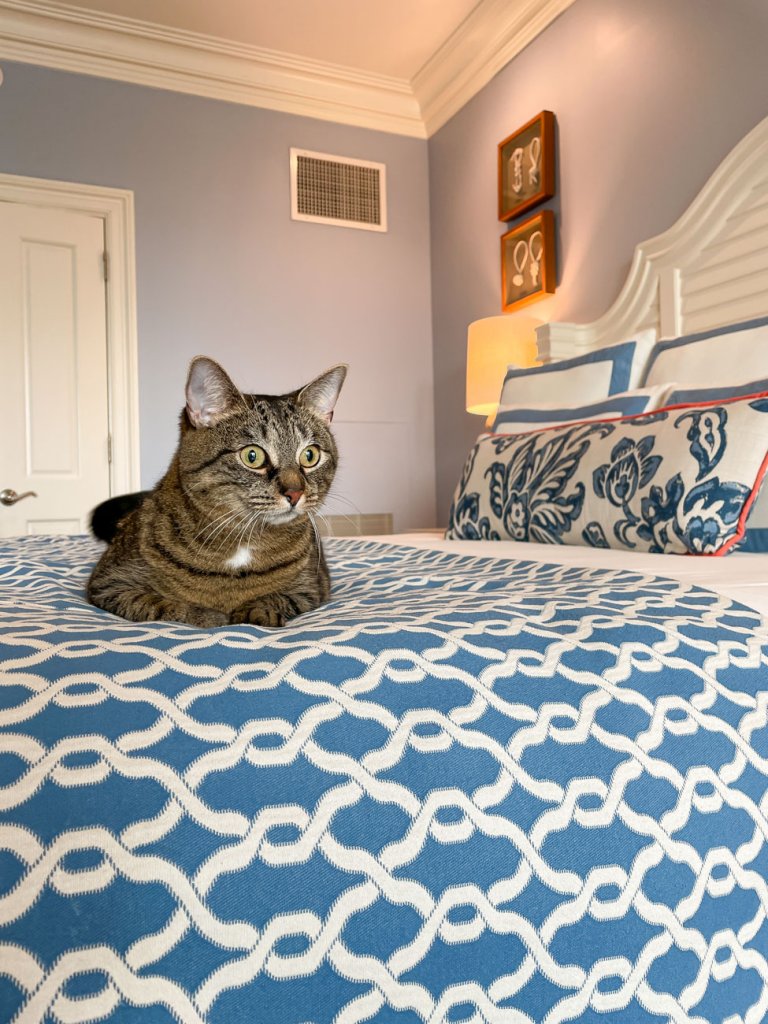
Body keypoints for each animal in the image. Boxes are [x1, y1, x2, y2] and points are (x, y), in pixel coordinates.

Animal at [85, 360, 348, 630]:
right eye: (252, 456)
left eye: (310, 455)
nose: (295, 493)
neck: (242, 541)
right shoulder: (109, 583)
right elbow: (159, 605)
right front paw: (209, 616)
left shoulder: (314, 587)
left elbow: (279, 597)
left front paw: (258, 611)